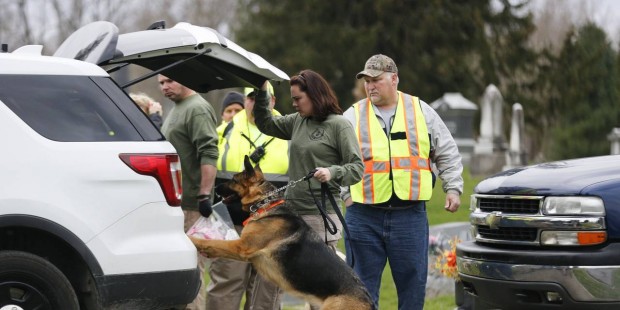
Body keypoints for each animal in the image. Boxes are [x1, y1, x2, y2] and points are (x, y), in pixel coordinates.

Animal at [189, 157, 372, 310]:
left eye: (234, 180)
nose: (214, 188)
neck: (264, 203)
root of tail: (368, 301)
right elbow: (214, 245)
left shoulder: (241, 247)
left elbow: (211, 242)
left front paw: (190, 238)